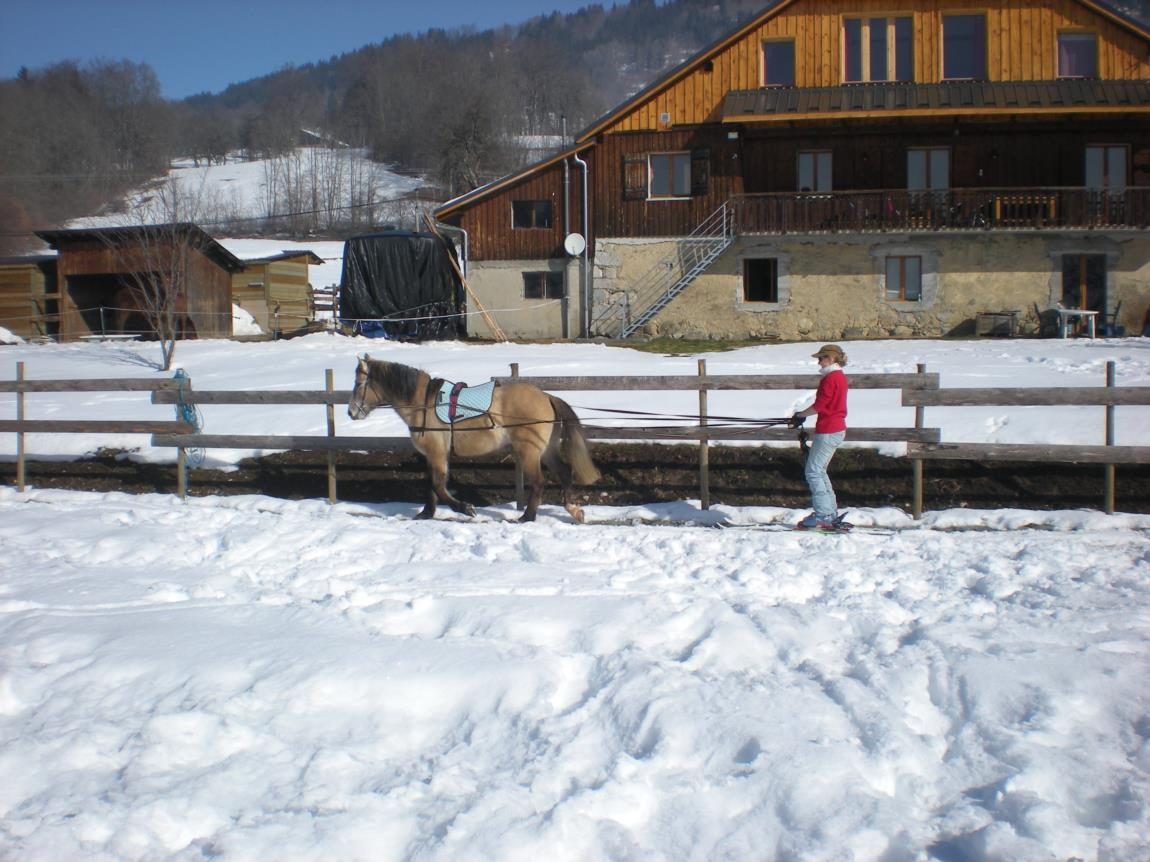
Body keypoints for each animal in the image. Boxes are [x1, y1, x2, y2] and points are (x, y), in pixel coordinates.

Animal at [347, 353, 602, 524]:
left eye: (359, 383)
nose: (351, 412)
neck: (423, 404)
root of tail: (547, 396)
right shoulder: (436, 455)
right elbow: (432, 485)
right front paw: (426, 513)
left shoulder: (436, 453)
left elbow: (438, 485)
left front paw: (465, 508)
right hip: (546, 449)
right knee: (564, 473)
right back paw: (573, 509)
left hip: (529, 451)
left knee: (539, 482)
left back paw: (526, 517)